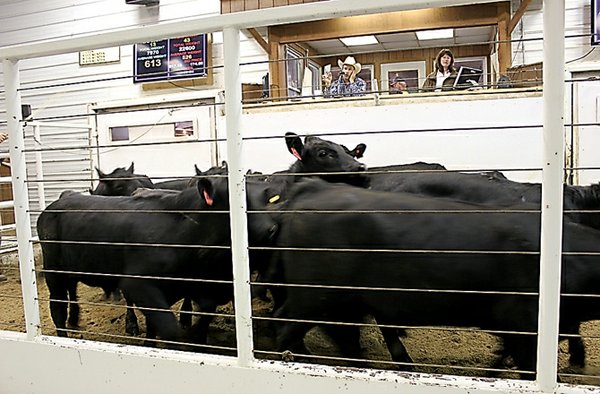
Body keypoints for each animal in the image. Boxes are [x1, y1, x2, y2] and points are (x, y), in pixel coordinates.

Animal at [38, 177, 278, 346]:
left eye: (265, 200)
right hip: (53, 272)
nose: (272, 229)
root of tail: (58, 202)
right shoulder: (138, 285)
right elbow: (170, 329)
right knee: (57, 307)